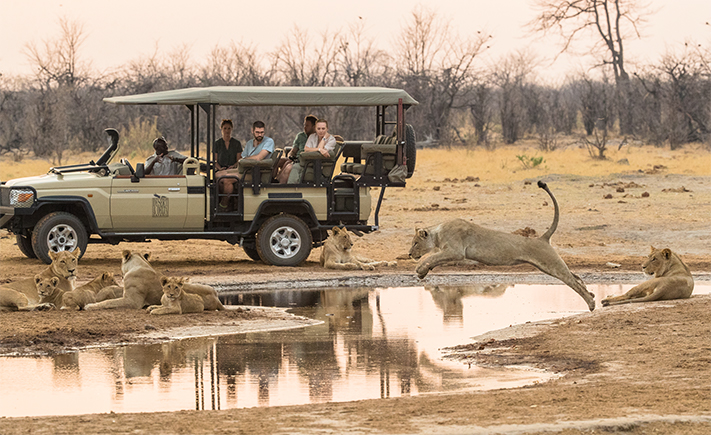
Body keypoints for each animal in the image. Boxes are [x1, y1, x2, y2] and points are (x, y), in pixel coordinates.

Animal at [408, 182, 596, 312]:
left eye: (415, 243)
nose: (409, 254)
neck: (437, 234)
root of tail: (542, 238)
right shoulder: (450, 252)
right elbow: (434, 259)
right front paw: (423, 272)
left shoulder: (456, 251)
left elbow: (432, 256)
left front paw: (419, 269)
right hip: (547, 266)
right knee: (576, 276)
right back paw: (592, 295)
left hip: (551, 264)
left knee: (573, 281)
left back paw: (592, 303)